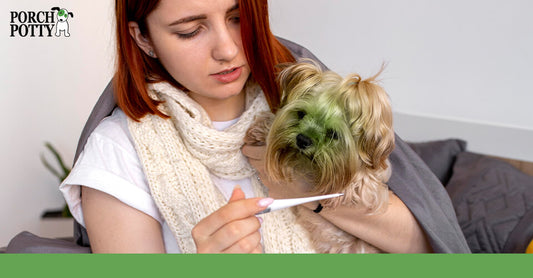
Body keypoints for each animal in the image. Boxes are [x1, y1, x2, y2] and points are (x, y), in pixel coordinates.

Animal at [245, 62, 394, 253]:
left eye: (333, 134)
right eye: (301, 114)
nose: (302, 140)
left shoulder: (374, 188)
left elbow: (361, 180)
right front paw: (261, 129)